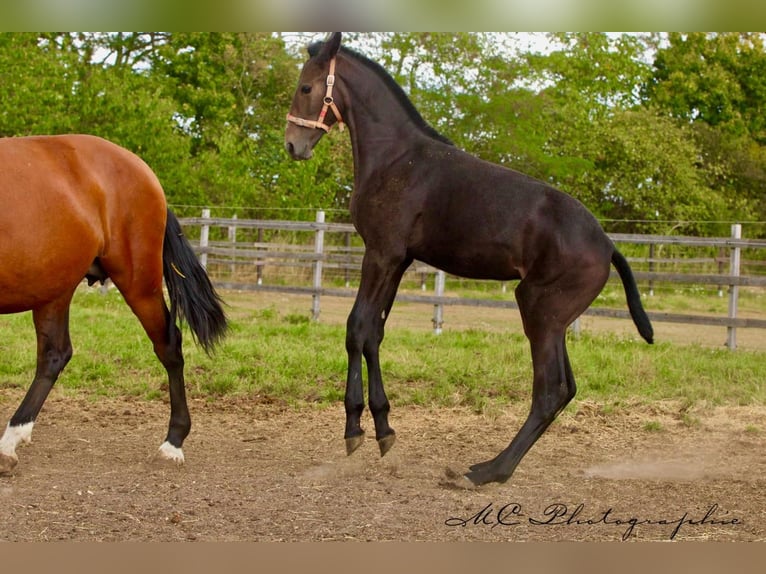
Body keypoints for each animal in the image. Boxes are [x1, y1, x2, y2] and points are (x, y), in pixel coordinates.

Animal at [0, 134, 227, 474]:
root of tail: (144, 172)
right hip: (54, 289)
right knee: (54, 354)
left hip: (138, 283)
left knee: (169, 346)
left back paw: (172, 444)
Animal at [285, 32, 654, 486]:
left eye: (306, 87)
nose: (293, 144)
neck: (397, 157)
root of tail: (607, 244)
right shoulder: (397, 262)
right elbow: (374, 333)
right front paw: (384, 429)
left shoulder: (381, 254)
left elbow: (356, 329)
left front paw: (354, 430)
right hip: (554, 321)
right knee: (565, 389)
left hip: (539, 312)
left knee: (549, 390)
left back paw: (490, 470)